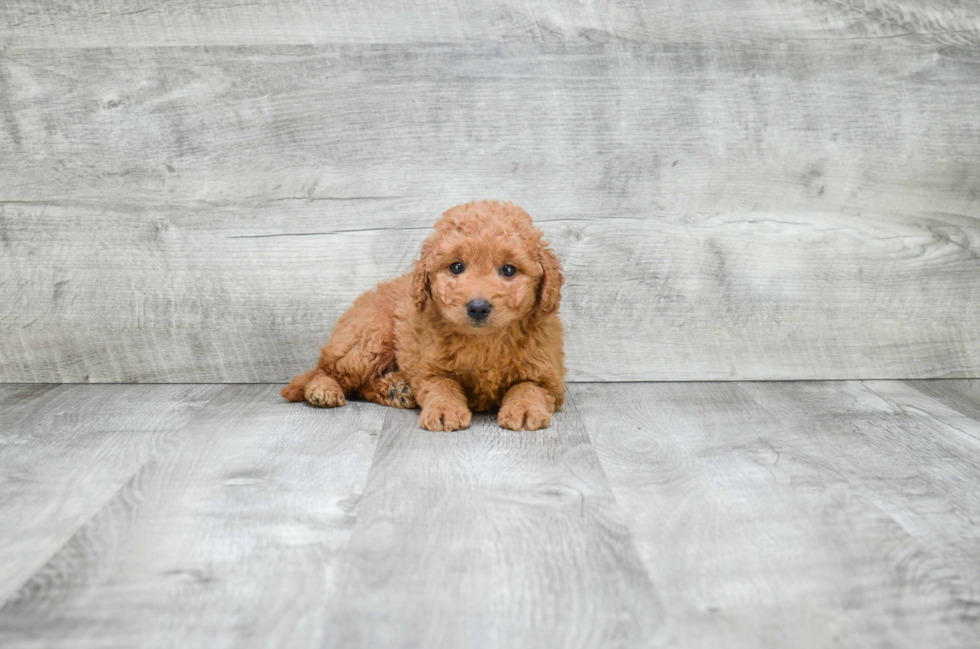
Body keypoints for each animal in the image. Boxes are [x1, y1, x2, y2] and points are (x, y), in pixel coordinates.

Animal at [280, 199, 564, 430]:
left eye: (509, 270)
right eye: (456, 267)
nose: (478, 307)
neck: (485, 342)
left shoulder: (547, 375)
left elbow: (529, 387)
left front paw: (524, 409)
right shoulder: (430, 368)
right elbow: (443, 386)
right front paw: (445, 411)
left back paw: (396, 390)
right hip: (370, 338)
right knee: (330, 371)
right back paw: (324, 388)